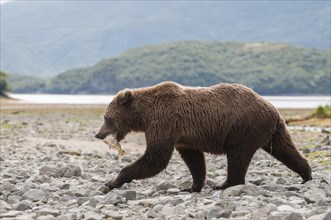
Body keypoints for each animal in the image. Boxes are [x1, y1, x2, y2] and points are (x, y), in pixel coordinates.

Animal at [94, 81, 312, 192]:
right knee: (285, 150)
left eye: (106, 117)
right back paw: (306, 174)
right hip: (272, 130)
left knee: (237, 156)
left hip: (243, 127)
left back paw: (225, 183)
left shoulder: (164, 122)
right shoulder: (184, 136)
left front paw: (112, 181)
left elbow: (155, 157)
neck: (144, 115)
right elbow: (194, 160)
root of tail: (272, 107)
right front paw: (192, 186)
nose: (98, 133)